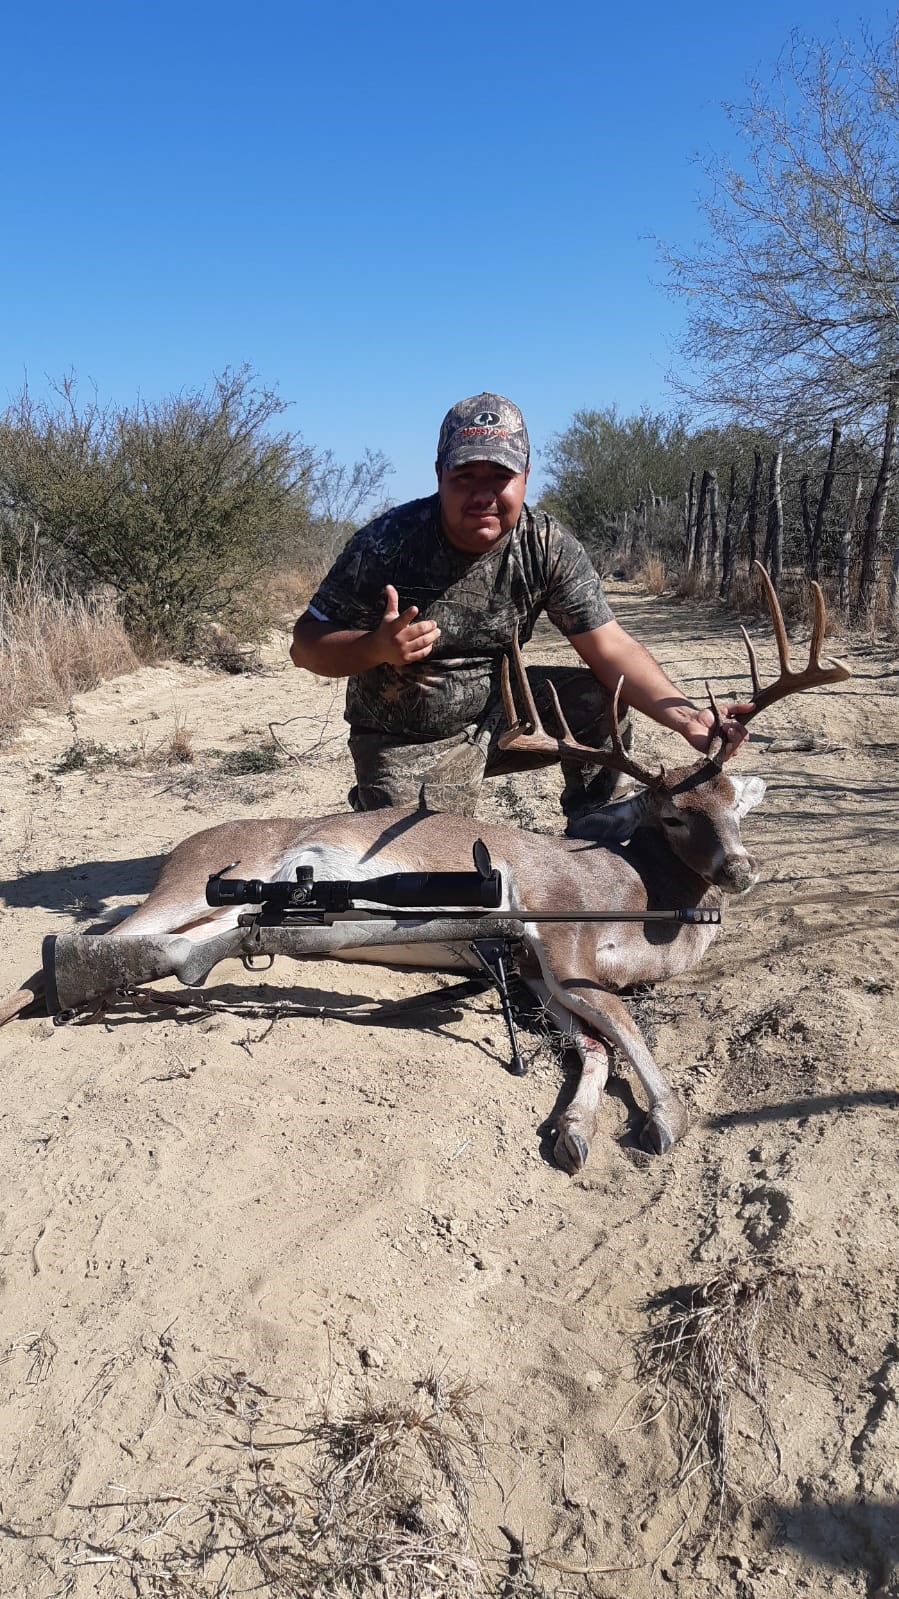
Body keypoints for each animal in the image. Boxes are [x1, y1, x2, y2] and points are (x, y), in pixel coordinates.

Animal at [1, 569, 844, 1170]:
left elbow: (592, 1042)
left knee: (128, 946)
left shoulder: (533, 968)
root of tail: (183, 848)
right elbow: (622, 1026)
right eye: (670, 813)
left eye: (735, 804)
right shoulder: (555, 938)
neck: (636, 900)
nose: (739, 869)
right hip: (189, 885)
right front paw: (663, 1117)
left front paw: (573, 1132)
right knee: (78, 951)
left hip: (213, 906)